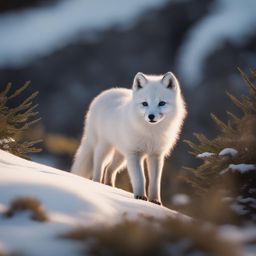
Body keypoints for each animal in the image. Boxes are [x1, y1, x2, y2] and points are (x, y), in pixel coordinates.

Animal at [72, 73, 186, 205]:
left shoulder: (156, 155)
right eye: (145, 103)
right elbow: (140, 178)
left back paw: (109, 185)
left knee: (110, 169)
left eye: (162, 103)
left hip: (122, 157)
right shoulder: (134, 154)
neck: (151, 133)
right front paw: (140, 196)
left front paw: (155, 200)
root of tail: (106, 92)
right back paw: (97, 183)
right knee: (99, 165)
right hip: (105, 148)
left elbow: (155, 181)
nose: (151, 116)